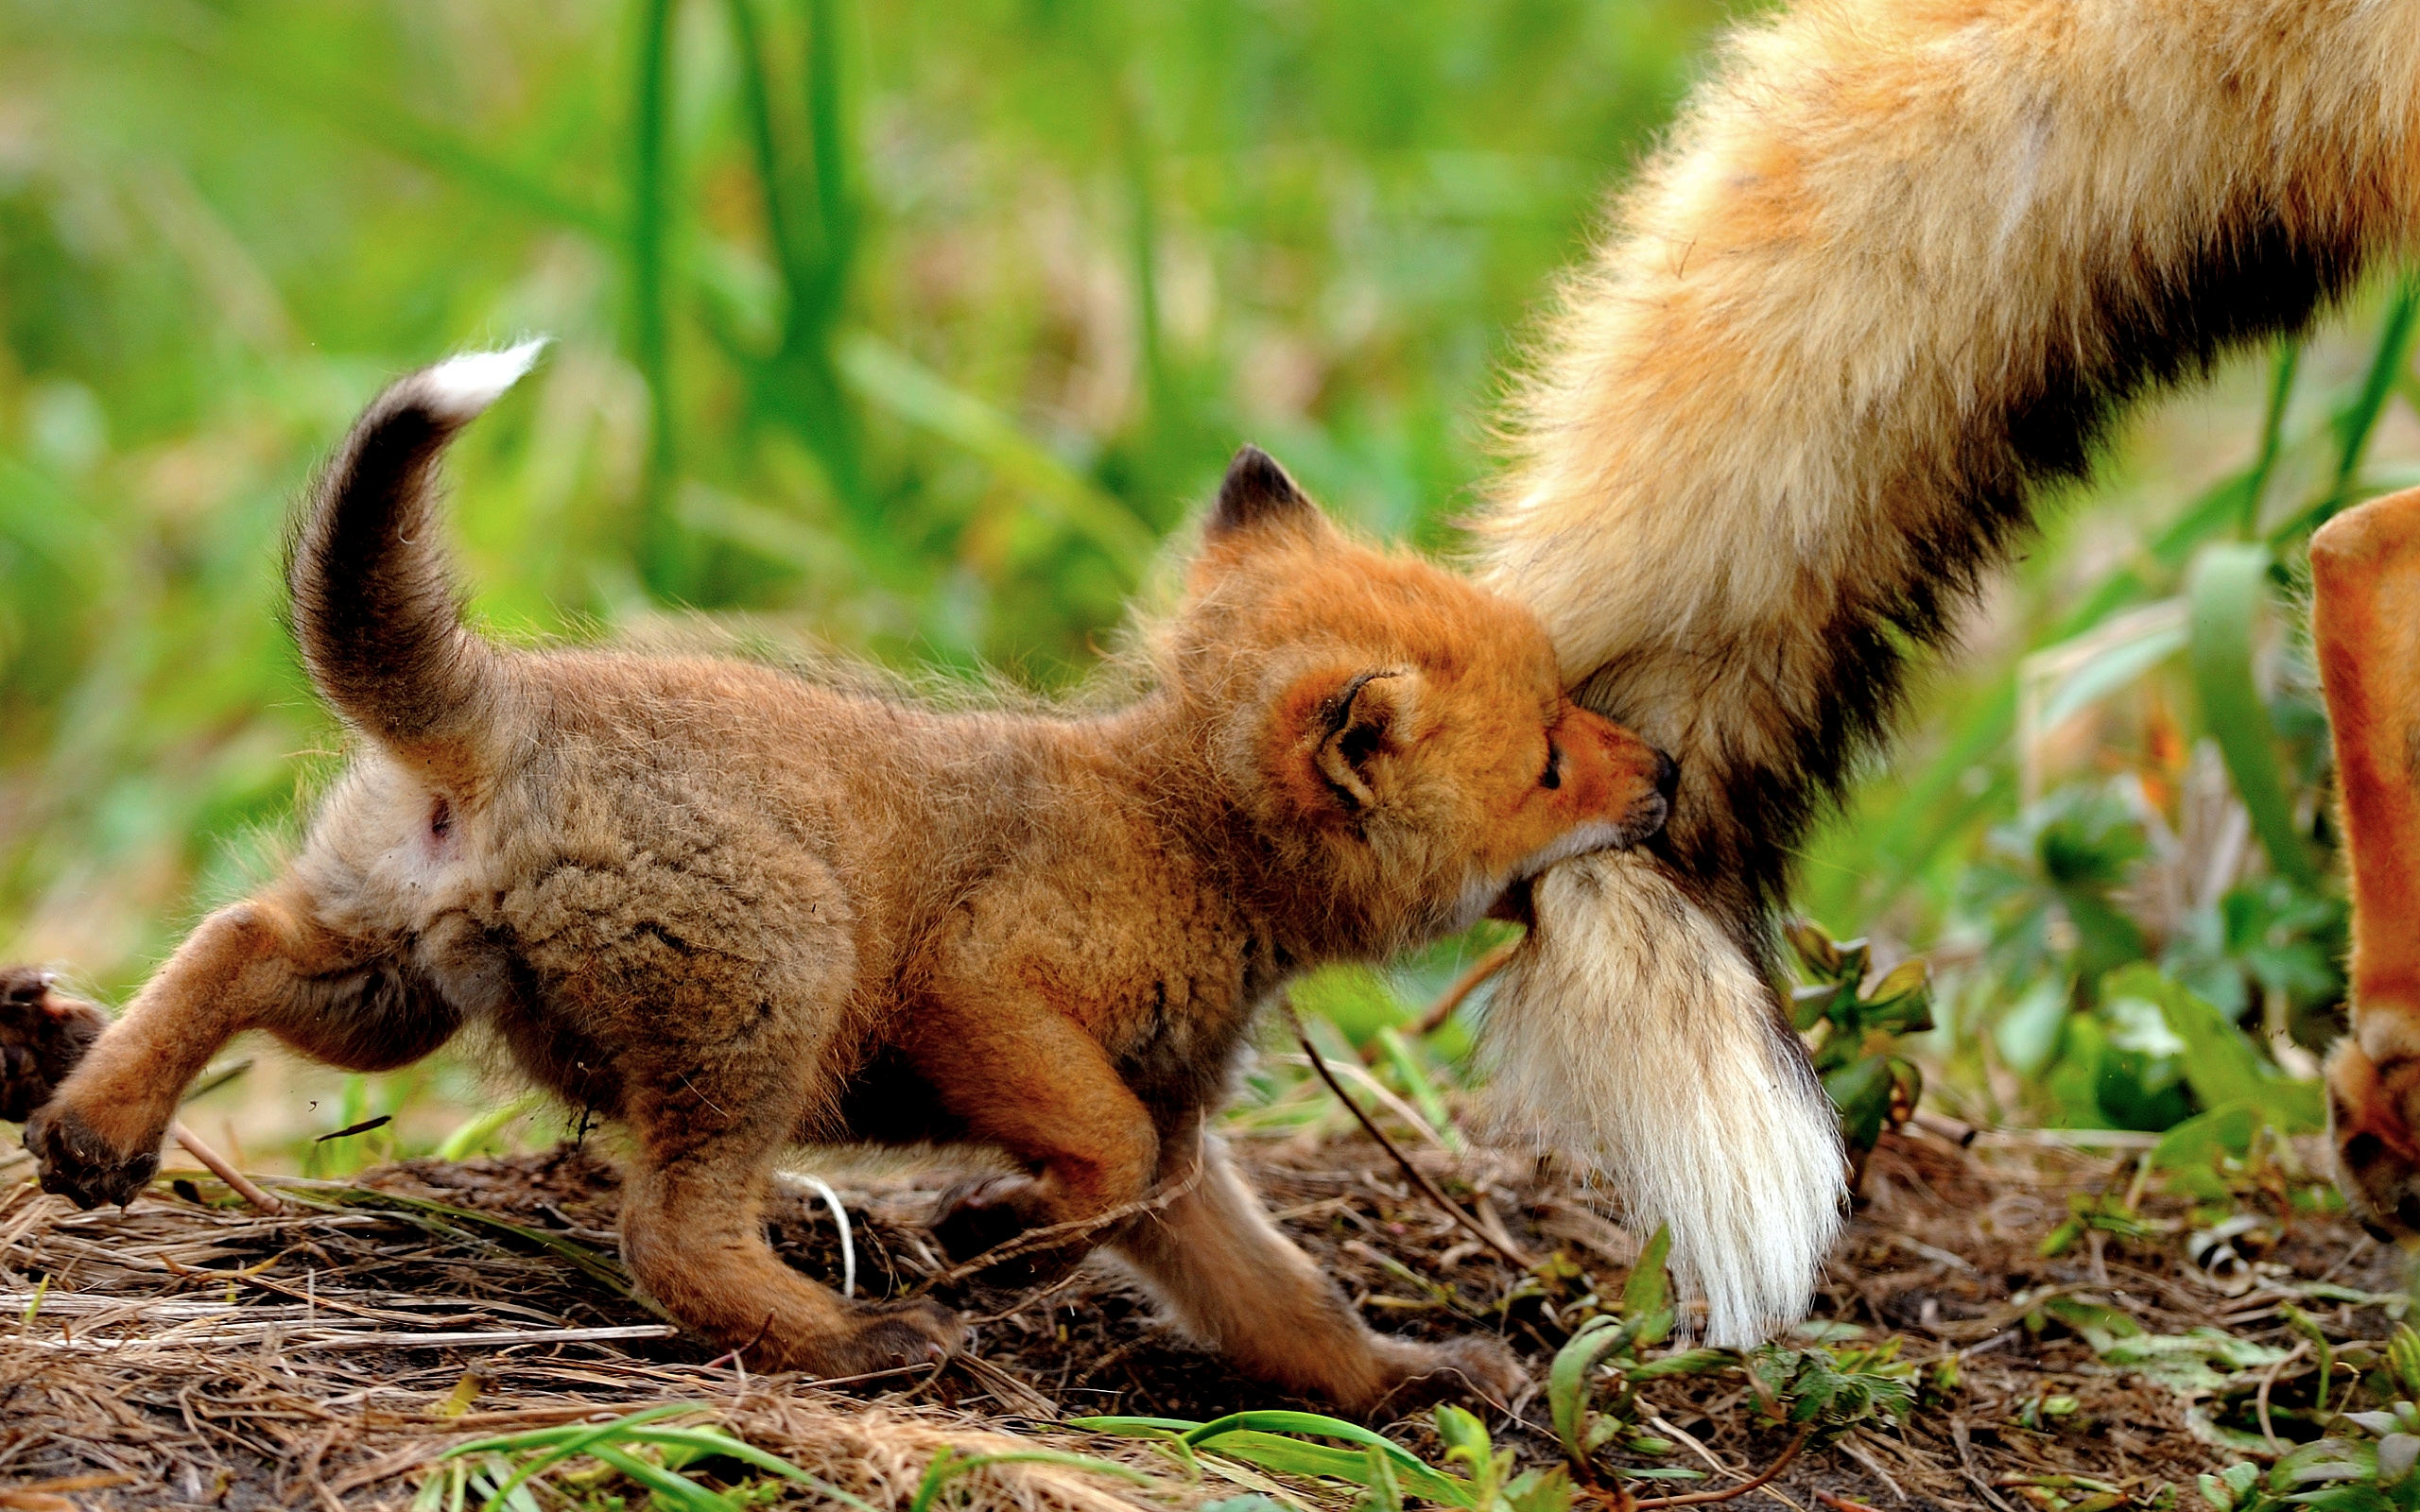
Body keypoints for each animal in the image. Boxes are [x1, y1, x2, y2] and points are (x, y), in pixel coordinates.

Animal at [17, 343, 1675, 1412]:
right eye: (1549, 759)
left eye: (1570, 716)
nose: (1664, 773)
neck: (1178, 834)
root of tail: (503, 705)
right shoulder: (984, 994)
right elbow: (1097, 1158)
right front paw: (988, 1243)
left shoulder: (1184, 1144)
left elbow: (1280, 1301)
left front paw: (1402, 1380)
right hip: (778, 989)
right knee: (668, 1235)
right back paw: (858, 1345)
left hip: (388, 986)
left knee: (232, 932)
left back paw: (92, 1119)